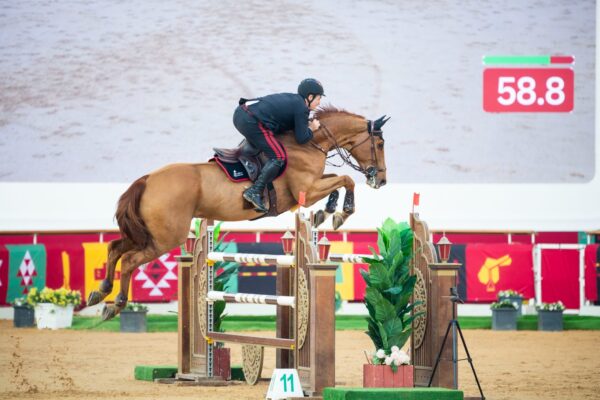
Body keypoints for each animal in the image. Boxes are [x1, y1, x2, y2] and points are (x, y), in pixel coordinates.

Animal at [88, 106, 390, 318]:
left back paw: (100, 292)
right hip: (165, 238)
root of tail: (147, 179)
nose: (382, 180)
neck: (307, 143)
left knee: (114, 248)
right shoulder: (306, 189)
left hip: (148, 233)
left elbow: (337, 180)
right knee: (129, 260)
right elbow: (345, 180)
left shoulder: (312, 186)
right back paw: (114, 305)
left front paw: (325, 213)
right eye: (380, 144)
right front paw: (340, 212)